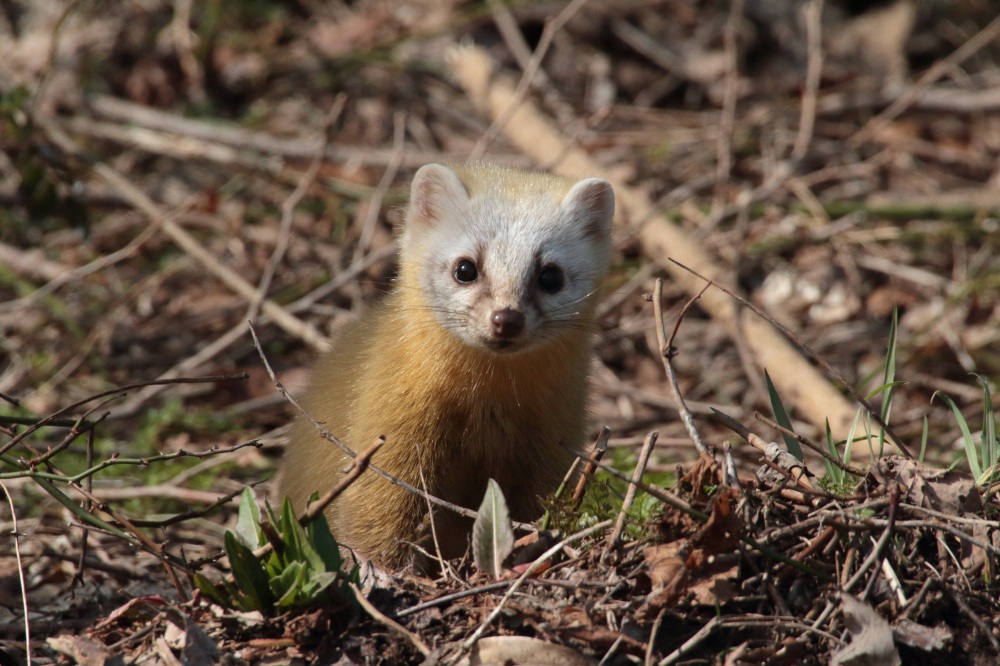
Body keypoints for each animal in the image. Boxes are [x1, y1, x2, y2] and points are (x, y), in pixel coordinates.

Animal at [278, 163, 612, 568]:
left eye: (551, 275)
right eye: (465, 268)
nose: (506, 318)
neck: (486, 407)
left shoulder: (552, 448)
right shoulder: (387, 447)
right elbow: (374, 525)